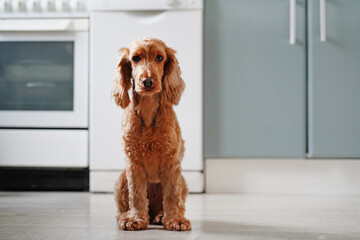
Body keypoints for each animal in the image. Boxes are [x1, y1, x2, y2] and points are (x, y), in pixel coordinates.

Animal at [112, 37, 191, 231]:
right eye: (135, 58)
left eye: (159, 58)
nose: (147, 81)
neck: (148, 110)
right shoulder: (133, 163)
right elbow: (136, 195)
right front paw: (136, 219)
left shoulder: (171, 162)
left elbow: (172, 195)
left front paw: (176, 220)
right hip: (121, 180)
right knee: (121, 209)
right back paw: (126, 216)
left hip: (183, 181)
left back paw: (161, 216)